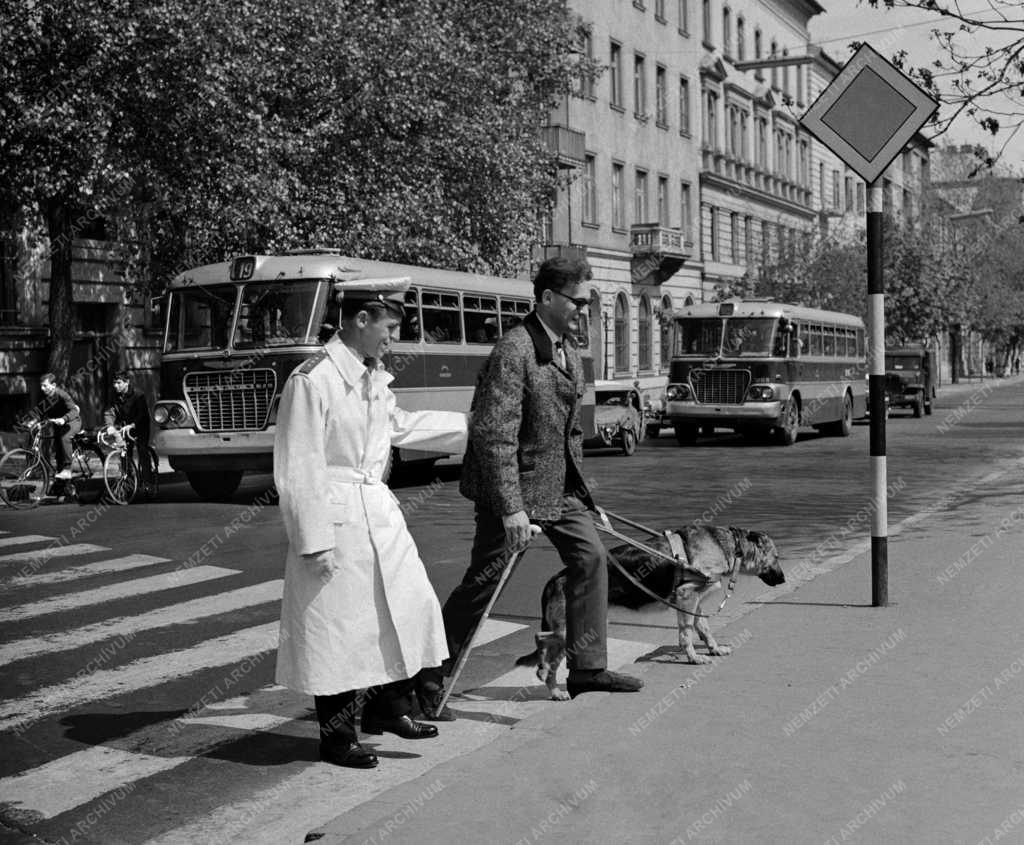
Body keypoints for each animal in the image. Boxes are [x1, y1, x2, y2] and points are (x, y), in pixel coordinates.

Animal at [516, 528, 786, 700]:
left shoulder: (693, 601)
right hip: (573, 628)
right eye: (776, 557)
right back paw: (544, 667)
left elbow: (703, 628)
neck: (730, 545)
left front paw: (714, 648)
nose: (784, 580)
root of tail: (556, 578)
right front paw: (692, 658)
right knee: (542, 640)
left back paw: (553, 689)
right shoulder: (687, 596)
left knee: (550, 660)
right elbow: (687, 633)